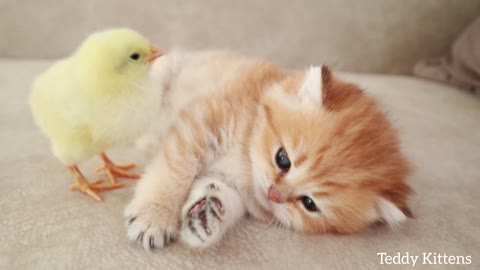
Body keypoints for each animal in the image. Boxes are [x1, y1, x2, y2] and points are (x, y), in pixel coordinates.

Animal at [125, 51, 410, 250]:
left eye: (309, 203)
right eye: (282, 159)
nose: (274, 194)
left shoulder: (231, 185)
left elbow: (223, 196)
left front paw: (207, 216)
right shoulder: (199, 125)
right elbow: (174, 171)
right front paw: (154, 216)